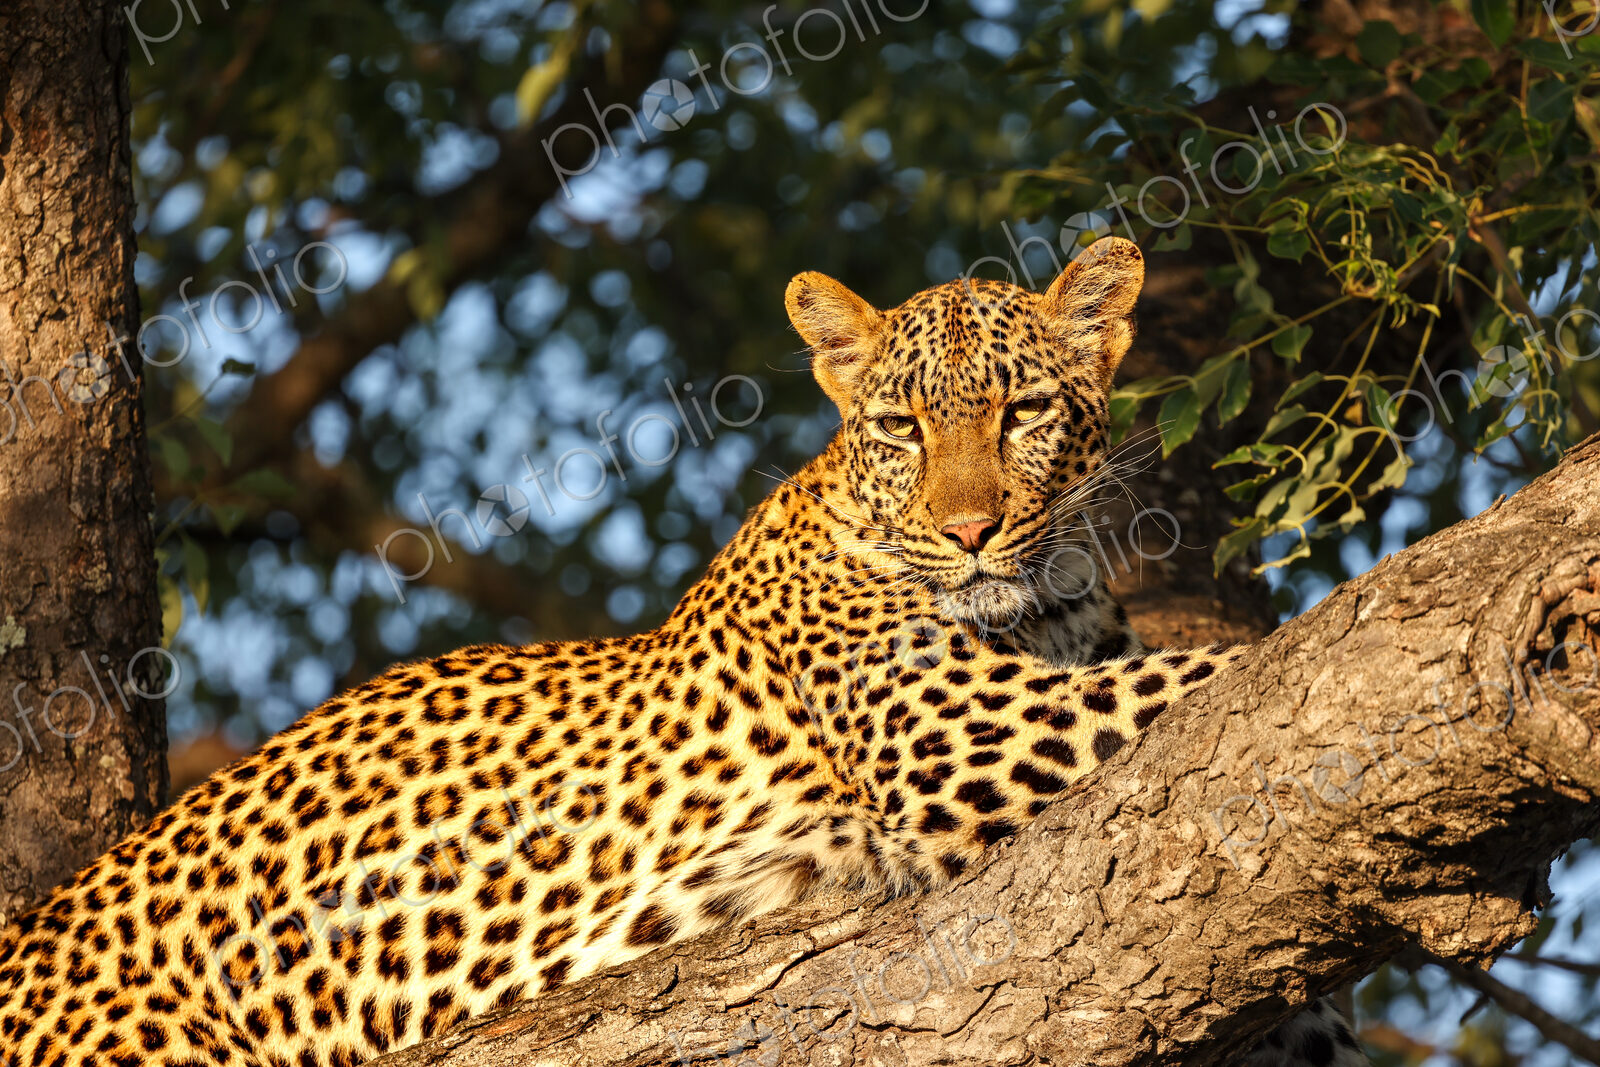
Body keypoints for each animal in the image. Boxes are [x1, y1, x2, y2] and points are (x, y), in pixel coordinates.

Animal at [0, 236, 1368, 1067]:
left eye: (1025, 411)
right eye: (899, 426)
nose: (971, 529)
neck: (1049, 606)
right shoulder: (960, 732)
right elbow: (1211, 671)